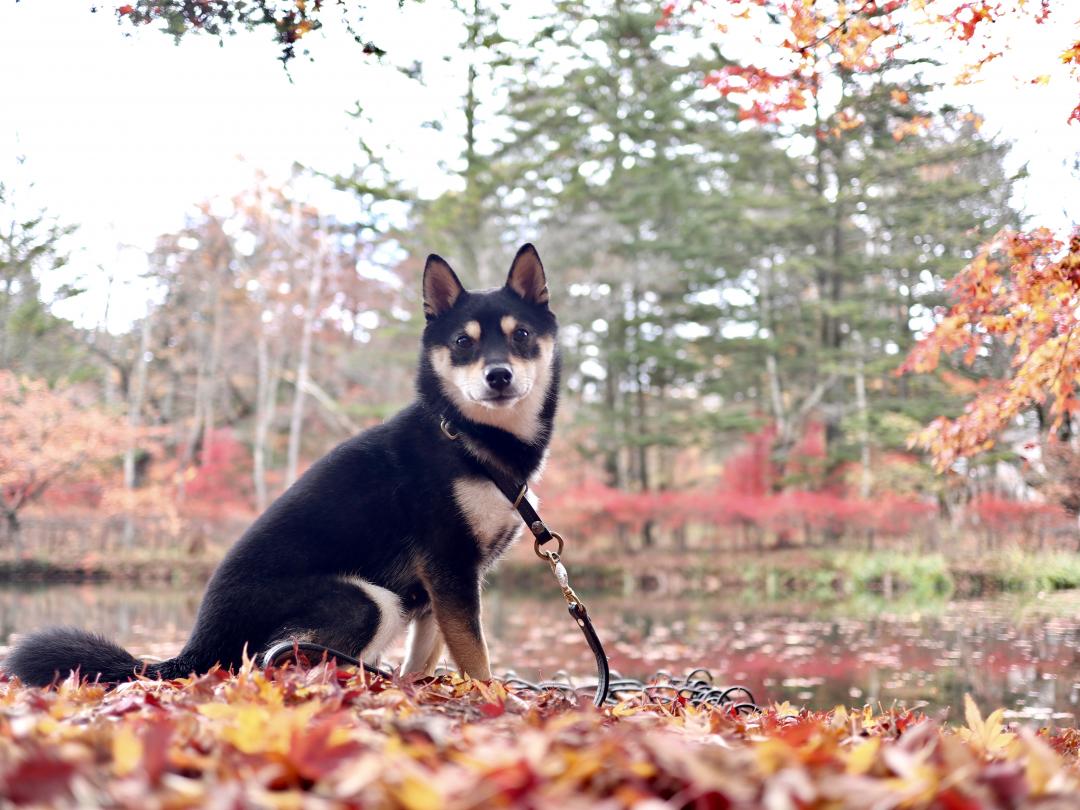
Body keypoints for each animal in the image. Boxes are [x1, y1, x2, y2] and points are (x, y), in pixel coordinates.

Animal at [8, 244, 561, 686]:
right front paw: (491, 695)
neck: (466, 439)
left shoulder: (443, 588)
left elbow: (427, 659)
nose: (498, 375)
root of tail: (196, 649)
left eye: (522, 334)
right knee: (275, 659)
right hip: (368, 599)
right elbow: (475, 656)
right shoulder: (449, 568)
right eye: (464, 342)